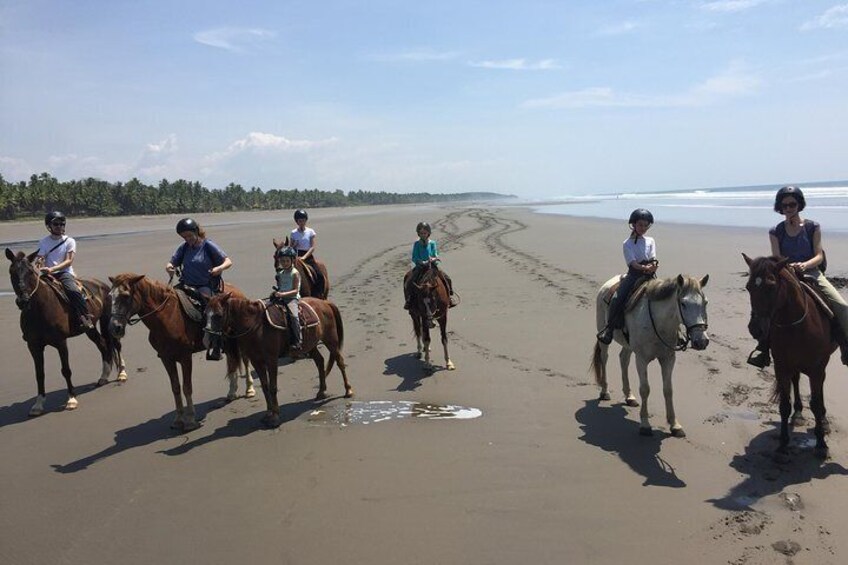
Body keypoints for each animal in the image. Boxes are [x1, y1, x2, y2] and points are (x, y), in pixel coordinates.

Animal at [4, 247, 127, 414]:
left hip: (109, 320)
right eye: (12, 272)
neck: (39, 309)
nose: (23, 300)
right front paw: (38, 404)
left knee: (116, 345)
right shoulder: (33, 346)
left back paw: (122, 374)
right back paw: (103, 377)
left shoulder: (61, 342)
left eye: (30, 272)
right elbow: (39, 373)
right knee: (102, 344)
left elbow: (66, 370)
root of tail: (102, 284)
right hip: (90, 329)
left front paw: (71, 399)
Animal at [107, 272, 252, 428]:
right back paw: (231, 392)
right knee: (232, 361)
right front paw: (178, 419)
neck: (167, 317)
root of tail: (237, 292)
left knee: (245, 360)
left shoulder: (185, 357)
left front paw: (190, 419)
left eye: (126, 295)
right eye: (110, 296)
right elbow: (175, 387)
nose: (114, 328)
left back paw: (250, 390)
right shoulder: (166, 358)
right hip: (227, 343)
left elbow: (187, 387)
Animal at [205, 294, 354, 426]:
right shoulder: (256, 361)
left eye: (218, 315)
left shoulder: (271, 359)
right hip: (310, 344)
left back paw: (348, 391)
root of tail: (324, 302)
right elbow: (265, 387)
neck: (256, 326)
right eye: (205, 313)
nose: (208, 338)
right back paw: (321, 391)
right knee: (320, 361)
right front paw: (268, 413)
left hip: (331, 340)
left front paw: (275, 416)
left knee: (340, 362)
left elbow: (273, 387)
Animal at [588, 274, 708, 436]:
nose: (702, 341)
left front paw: (675, 425)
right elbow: (645, 389)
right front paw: (645, 424)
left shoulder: (668, 359)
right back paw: (604, 392)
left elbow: (668, 390)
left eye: (705, 302)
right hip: (603, 334)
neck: (659, 323)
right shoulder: (641, 359)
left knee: (623, 359)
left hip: (629, 345)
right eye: (683, 304)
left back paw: (629, 396)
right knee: (604, 358)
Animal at [744, 253, 836, 456]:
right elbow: (784, 406)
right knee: (796, 380)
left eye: (771, 285)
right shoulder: (782, 366)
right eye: (748, 287)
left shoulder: (816, 368)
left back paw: (824, 421)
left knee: (820, 389)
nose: (755, 329)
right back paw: (798, 413)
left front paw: (821, 444)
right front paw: (783, 445)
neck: (796, 325)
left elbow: (816, 404)